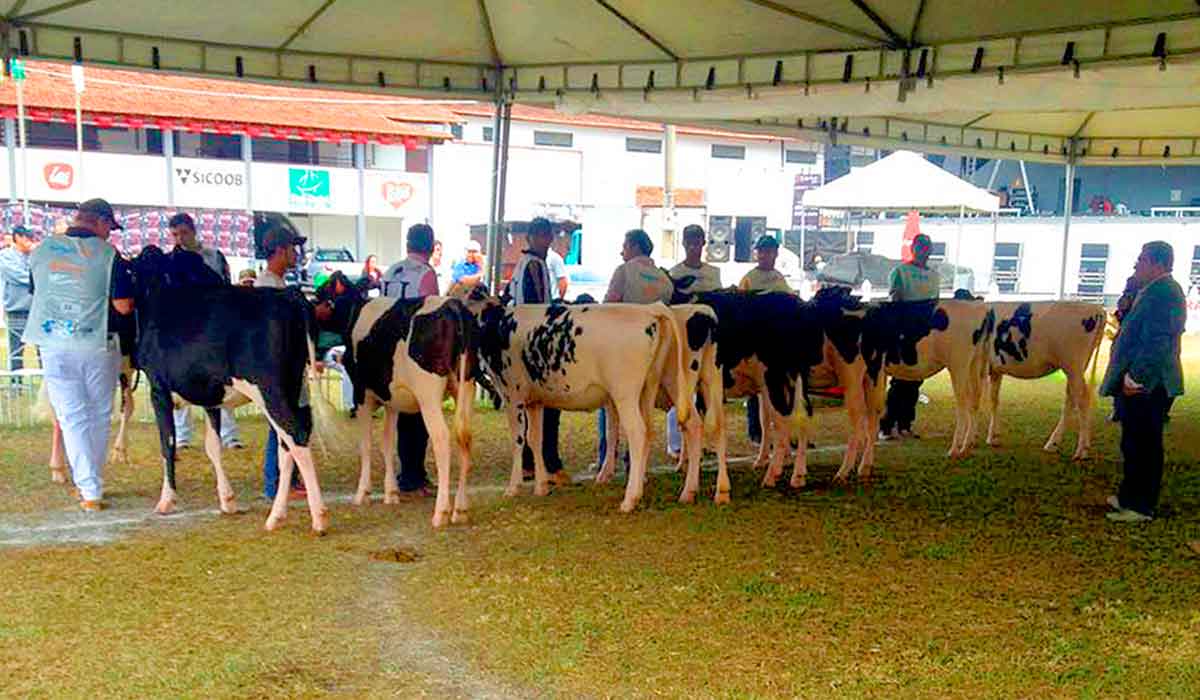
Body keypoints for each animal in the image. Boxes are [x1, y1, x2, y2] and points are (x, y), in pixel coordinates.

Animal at [130, 249, 333, 533]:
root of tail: (289, 295)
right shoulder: (210, 398)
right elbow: (212, 446)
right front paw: (227, 501)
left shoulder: (159, 390)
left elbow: (167, 444)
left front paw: (166, 500)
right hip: (291, 386)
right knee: (286, 445)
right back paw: (275, 516)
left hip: (269, 390)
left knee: (297, 437)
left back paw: (318, 518)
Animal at [338, 292, 477, 528]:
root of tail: (452, 304)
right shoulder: (392, 400)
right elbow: (387, 442)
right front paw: (391, 493)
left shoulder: (361, 394)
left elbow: (366, 444)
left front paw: (362, 493)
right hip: (466, 386)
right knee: (464, 438)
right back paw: (461, 509)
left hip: (428, 394)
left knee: (441, 438)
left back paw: (441, 512)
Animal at [984, 300, 1104, 461]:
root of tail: (1095, 307)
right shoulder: (996, 370)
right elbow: (994, 400)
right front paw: (993, 437)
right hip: (1076, 369)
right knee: (1072, 398)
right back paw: (1054, 444)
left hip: (1073, 365)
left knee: (1082, 399)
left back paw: (1081, 451)